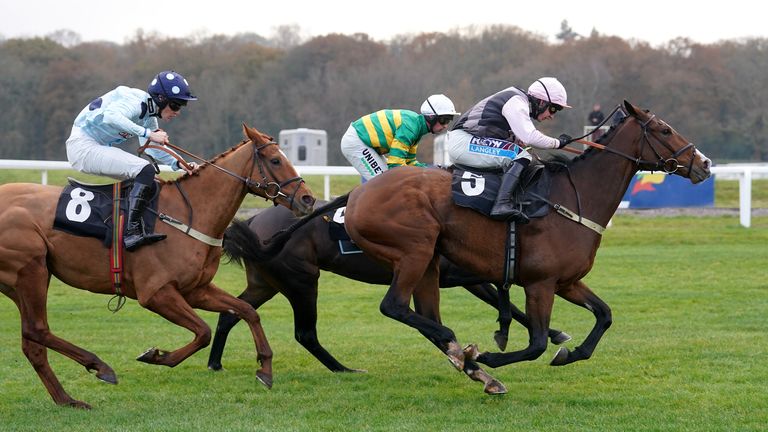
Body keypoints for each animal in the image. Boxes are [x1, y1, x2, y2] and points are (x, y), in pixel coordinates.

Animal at [0, 123, 316, 406]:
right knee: (37, 330)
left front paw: (265, 369)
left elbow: (247, 311)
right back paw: (99, 367)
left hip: (20, 282)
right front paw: (156, 356)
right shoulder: (156, 293)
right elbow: (203, 331)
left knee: (32, 343)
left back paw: (67, 399)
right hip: (32, 270)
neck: (188, 214)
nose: (308, 198)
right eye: (275, 159)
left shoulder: (196, 289)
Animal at [207, 202, 568, 372]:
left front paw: (551, 333)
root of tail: (254, 220)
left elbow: (503, 294)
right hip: (302, 281)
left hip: (266, 284)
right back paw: (344, 369)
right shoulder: (459, 275)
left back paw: (215, 362)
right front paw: (522, 332)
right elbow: (503, 291)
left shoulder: (462, 277)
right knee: (305, 333)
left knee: (232, 314)